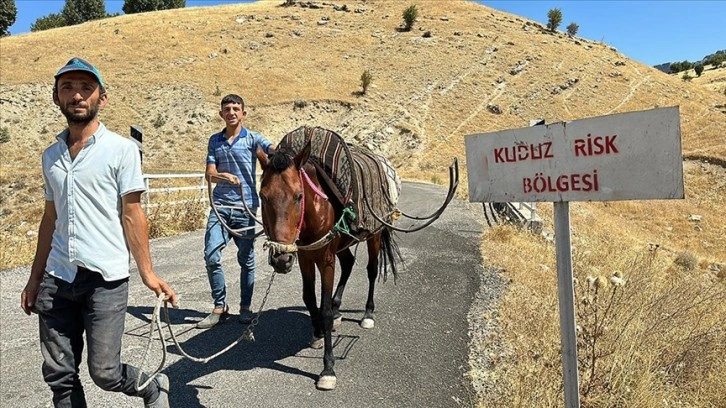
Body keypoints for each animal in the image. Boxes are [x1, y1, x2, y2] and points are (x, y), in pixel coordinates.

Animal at [258, 141, 404, 392]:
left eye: (298, 196)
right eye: (262, 196)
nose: (281, 260)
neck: (316, 208)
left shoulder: (326, 259)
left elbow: (324, 309)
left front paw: (327, 369)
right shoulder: (305, 257)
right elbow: (309, 298)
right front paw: (317, 334)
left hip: (374, 236)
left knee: (371, 270)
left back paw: (367, 313)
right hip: (342, 245)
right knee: (348, 263)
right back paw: (338, 309)